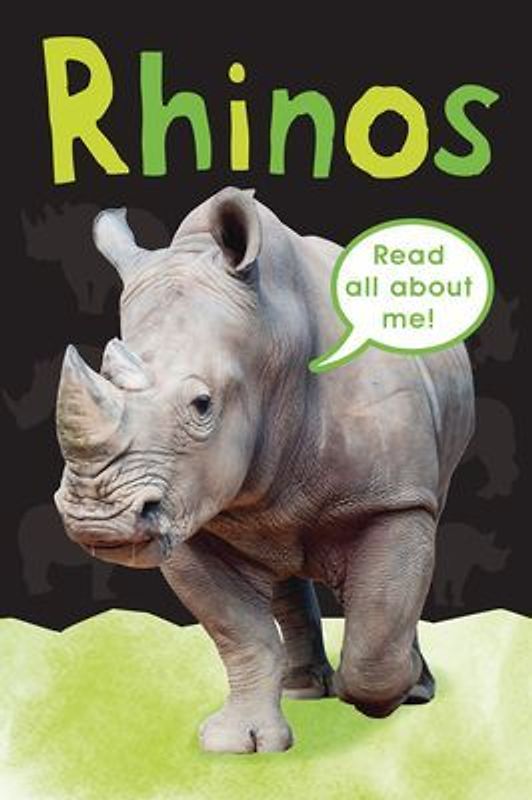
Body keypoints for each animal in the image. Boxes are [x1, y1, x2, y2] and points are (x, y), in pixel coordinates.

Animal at [54, 187, 475, 754]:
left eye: (203, 405)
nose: (97, 522)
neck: (272, 341)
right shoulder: (190, 512)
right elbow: (241, 635)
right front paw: (237, 743)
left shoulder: (393, 499)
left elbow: (379, 629)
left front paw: (397, 690)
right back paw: (303, 690)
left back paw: (405, 687)